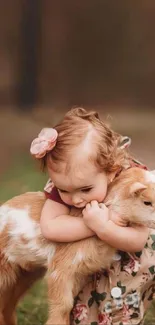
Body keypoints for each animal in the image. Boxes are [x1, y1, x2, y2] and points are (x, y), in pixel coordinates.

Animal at [0, 167, 155, 324]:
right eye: (147, 202)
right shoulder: (61, 268)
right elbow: (63, 305)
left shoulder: (78, 274)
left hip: (23, 275)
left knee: (8, 305)